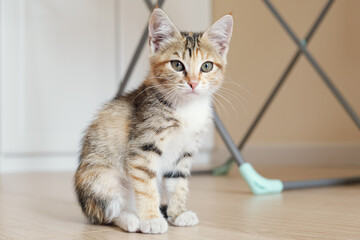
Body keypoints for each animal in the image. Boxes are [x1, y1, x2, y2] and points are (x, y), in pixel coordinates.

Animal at [74, 8, 233, 233]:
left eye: (207, 66)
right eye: (177, 65)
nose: (193, 83)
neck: (186, 109)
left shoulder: (184, 152)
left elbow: (178, 182)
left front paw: (178, 213)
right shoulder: (143, 148)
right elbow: (146, 186)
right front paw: (150, 219)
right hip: (101, 177)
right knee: (106, 212)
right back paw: (131, 219)